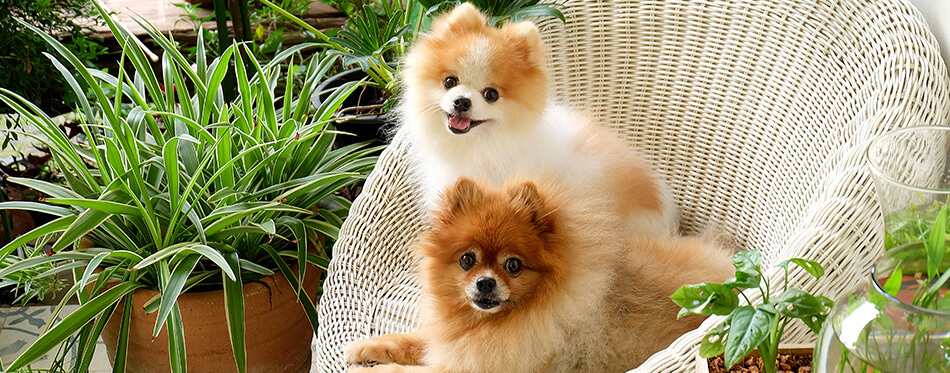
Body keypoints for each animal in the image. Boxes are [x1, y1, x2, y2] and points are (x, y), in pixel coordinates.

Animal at [342, 176, 736, 370]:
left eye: (513, 265)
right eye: (467, 260)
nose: (485, 282)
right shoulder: (456, 343)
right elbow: (415, 341)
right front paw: (365, 347)